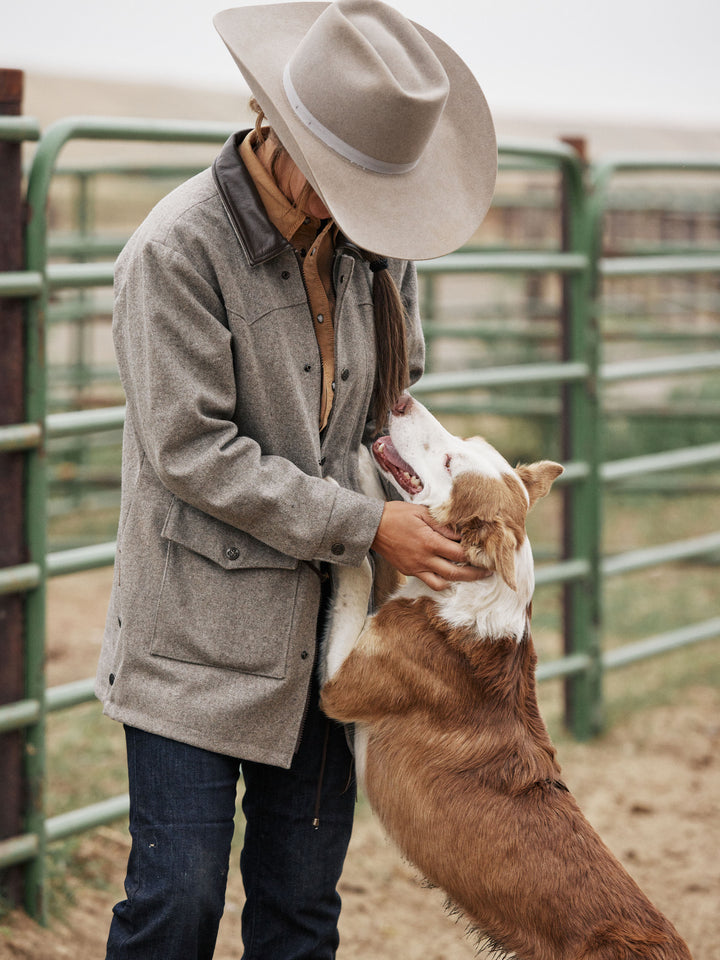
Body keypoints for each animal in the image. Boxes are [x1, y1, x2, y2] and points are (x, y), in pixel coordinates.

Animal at [320, 396, 692, 960]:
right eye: (465, 443)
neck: (475, 595)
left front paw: (350, 485)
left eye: (451, 463)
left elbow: (358, 572)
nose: (400, 400)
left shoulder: (339, 684)